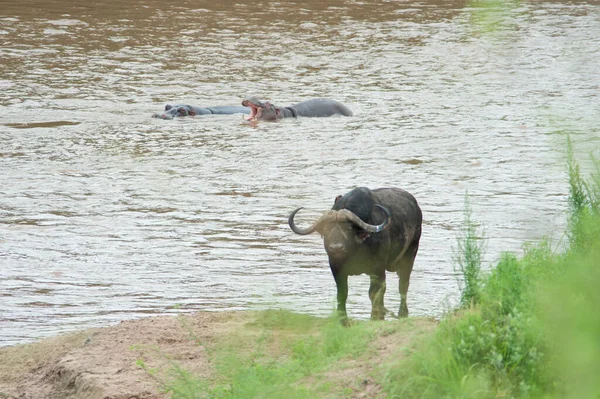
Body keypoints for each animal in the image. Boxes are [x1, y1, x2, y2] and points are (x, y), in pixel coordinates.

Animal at [288, 188, 422, 322]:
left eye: (348, 229)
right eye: (327, 229)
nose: (336, 247)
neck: (356, 251)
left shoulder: (378, 269)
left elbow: (375, 292)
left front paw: (376, 317)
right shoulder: (336, 268)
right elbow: (342, 293)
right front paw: (342, 319)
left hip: (410, 255)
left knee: (403, 285)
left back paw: (402, 313)